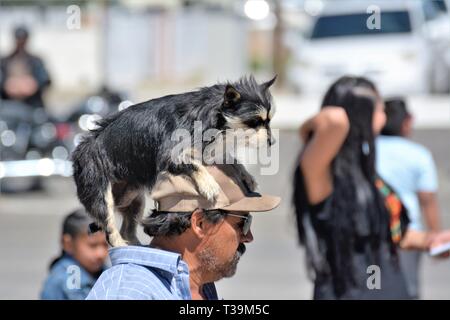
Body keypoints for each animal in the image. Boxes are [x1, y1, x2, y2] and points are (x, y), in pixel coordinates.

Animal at [71, 75, 274, 248]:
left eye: (268, 121)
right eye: (255, 122)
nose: (273, 142)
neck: (210, 115)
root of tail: (79, 153)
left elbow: (229, 158)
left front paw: (246, 176)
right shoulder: (169, 155)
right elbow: (194, 165)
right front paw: (209, 184)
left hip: (134, 200)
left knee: (127, 229)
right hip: (102, 196)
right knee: (110, 228)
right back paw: (121, 244)